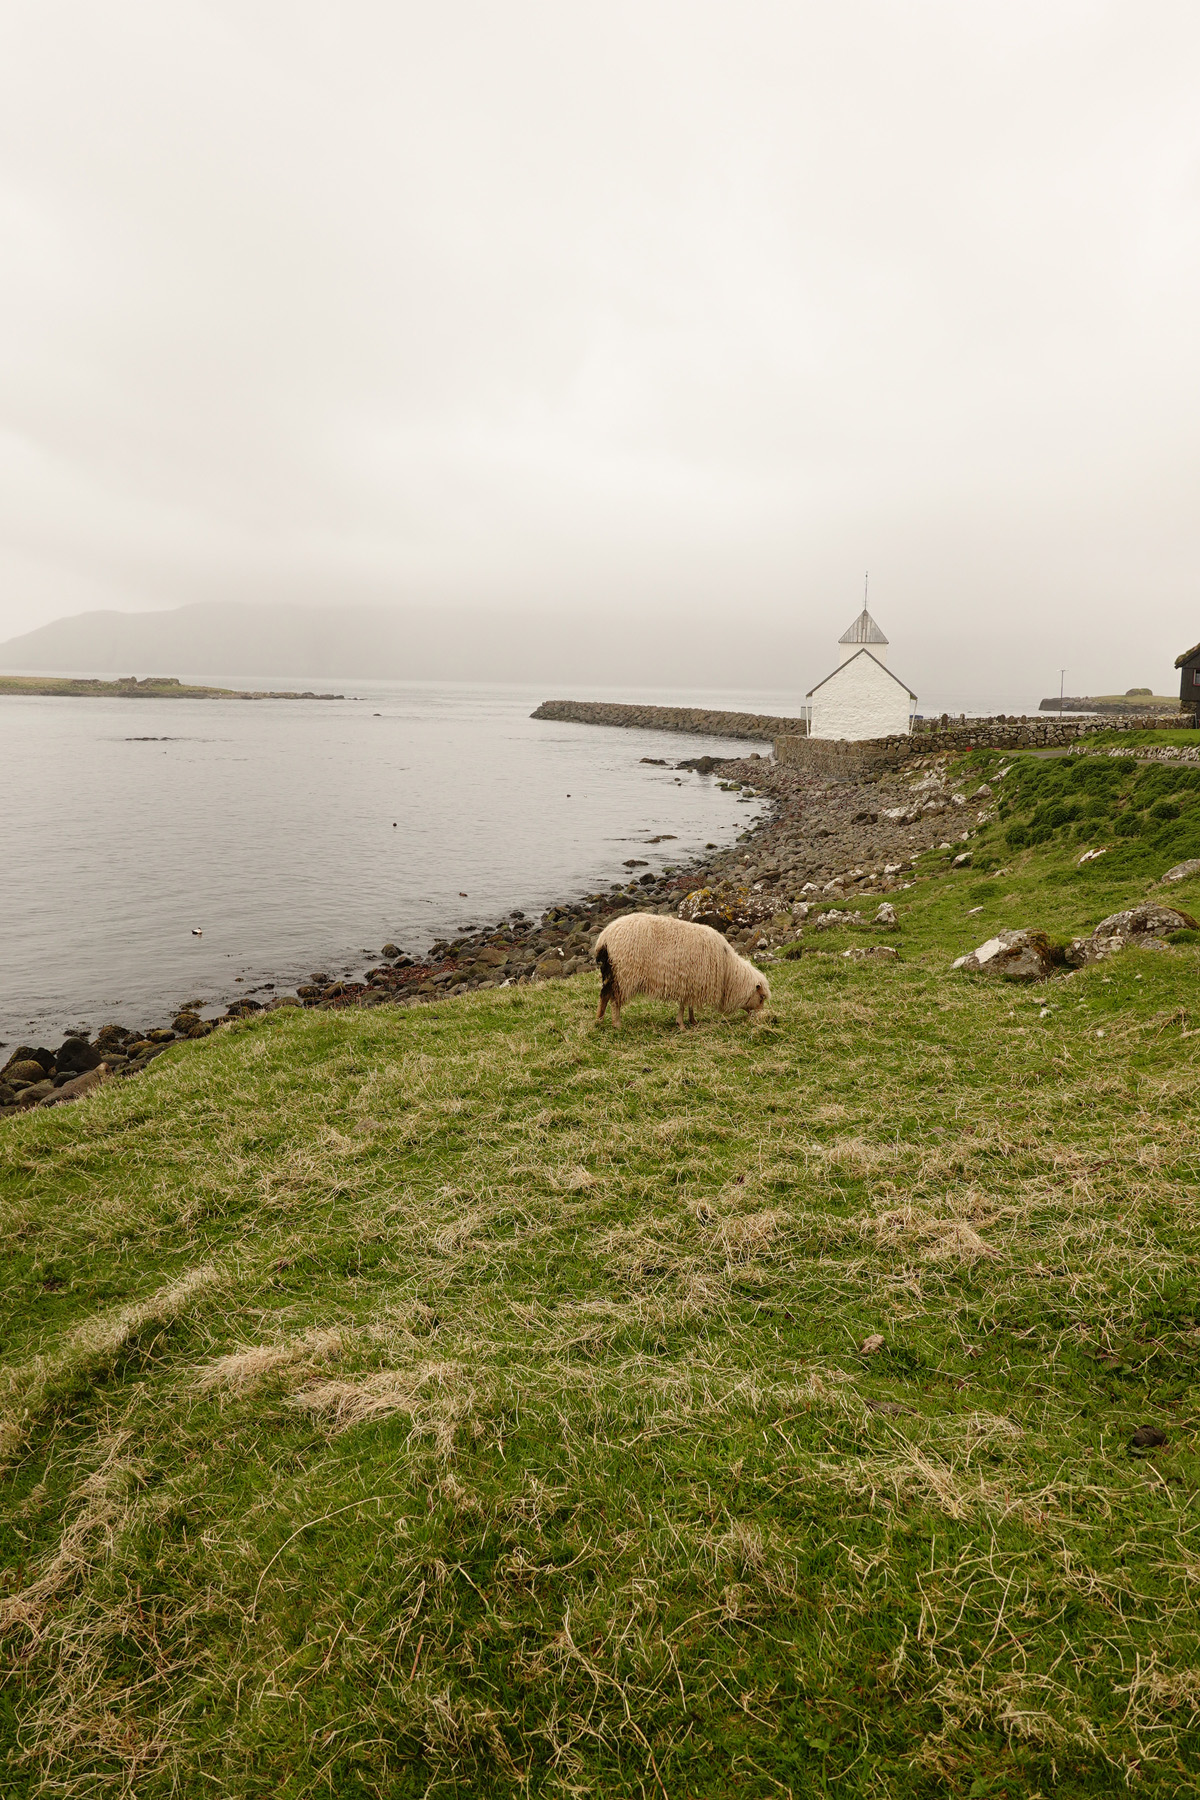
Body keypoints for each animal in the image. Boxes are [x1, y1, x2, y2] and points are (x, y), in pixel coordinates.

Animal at [590, 914, 770, 1029]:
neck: (728, 970)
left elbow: (688, 1004)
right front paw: (682, 1024)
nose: (759, 1018)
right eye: (761, 997)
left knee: (604, 995)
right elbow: (684, 1005)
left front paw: (692, 1021)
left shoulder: (691, 981)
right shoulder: (691, 980)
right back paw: (617, 1024)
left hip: (610, 971)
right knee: (615, 999)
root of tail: (604, 937)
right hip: (624, 973)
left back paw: (599, 1020)